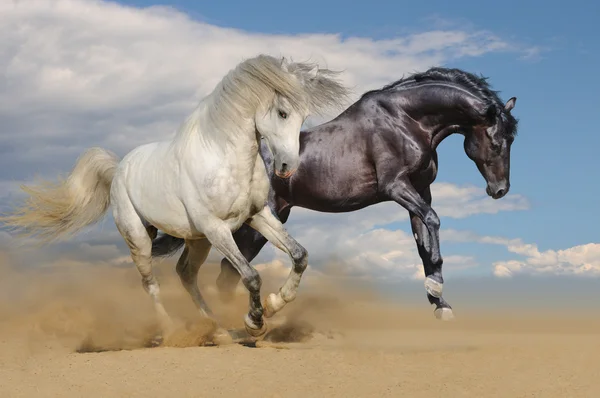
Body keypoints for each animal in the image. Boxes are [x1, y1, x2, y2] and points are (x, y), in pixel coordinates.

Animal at [1, 54, 346, 344]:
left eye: (304, 115)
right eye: (282, 112)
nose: (287, 167)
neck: (225, 160)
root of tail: (119, 168)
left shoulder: (256, 215)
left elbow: (299, 255)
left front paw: (275, 304)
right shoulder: (216, 228)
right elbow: (250, 275)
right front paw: (254, 323)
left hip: (196, 240)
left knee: (186, 274)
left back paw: (217, 330)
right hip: (142, 238)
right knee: (151, 283)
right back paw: (171, 331)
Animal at [152, 67, 516, 320]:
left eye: (512, 140)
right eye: (498, 142)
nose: (499, 190)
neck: (406, 120)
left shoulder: (420, 191)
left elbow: (425, 243)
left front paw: (440, 303)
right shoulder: (396, 186)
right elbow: (434, 221)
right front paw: (436, 290)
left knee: (228, 275)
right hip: (255, 226)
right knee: (228, 274)